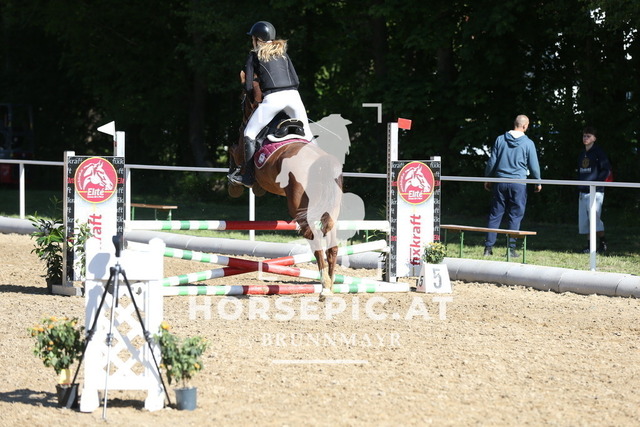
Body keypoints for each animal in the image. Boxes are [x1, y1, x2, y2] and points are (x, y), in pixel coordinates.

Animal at [228, 86, 343, 298]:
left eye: (242, 99)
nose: (241, 123)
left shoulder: (240, 150)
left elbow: (233, 151)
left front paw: (235, 184)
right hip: (330, 212)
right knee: (332, 246)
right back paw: (330, 287)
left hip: (300, 209)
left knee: (315, 241)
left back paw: (324, 286)